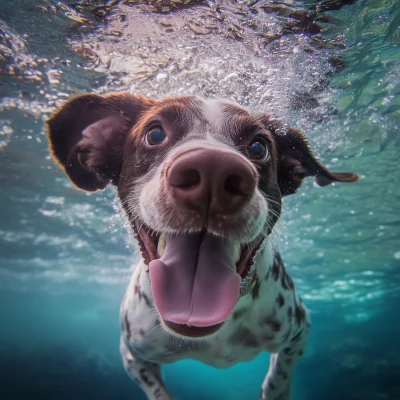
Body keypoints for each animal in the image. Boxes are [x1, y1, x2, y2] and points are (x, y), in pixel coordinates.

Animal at [47, 92, 360, 398]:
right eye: (155, 134)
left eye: (258, 147)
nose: (214, 169)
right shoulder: (132, 355)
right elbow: (159, 393)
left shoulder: (299, 333)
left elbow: (276, 382)